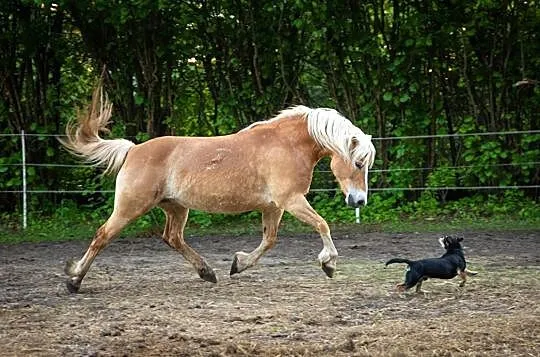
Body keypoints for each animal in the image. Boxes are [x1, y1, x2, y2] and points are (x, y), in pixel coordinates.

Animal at [61, 82, 376, 292]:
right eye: (358, 162)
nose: (359, 201)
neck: (286, 144)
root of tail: (133, 150)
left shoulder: (273, 206)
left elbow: (269, 240)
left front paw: (238, 264)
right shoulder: (291, 200)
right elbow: (322, 224)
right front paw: (328, 263)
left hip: (176, 207)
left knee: (172, 237)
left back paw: (207, 272)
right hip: (130, 207)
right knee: (102, 236)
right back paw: (74, 279)